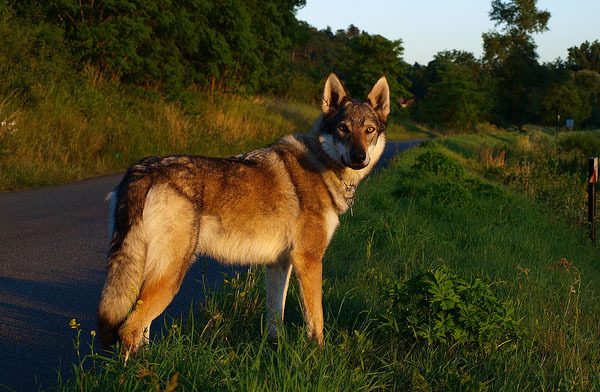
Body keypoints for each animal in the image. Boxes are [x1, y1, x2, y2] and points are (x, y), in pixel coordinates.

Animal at [98, 73, 390, 352]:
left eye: (369, 130)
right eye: (343, 128)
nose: (359, 156)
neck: (322, 164)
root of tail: (141, 170)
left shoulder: (279, 263)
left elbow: (275, 317)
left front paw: (276, 349)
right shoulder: (308, 259)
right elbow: (316, 320)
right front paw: (318, 355)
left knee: (142, 329)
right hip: (171, 276)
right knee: (130, 329)